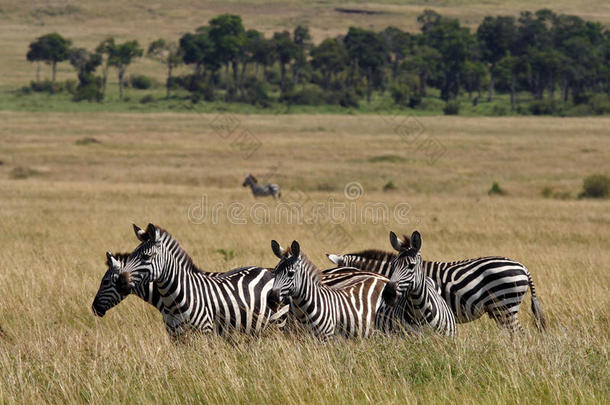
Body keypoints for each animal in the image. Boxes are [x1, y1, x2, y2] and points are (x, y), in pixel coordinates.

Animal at [111, 223, 288, 336]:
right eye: (131, 255)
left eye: (146, 257)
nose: (120, 281)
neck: (173, 300)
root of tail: (268, 271)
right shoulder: (177, 335)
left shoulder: (205, 332)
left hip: (277, 324)